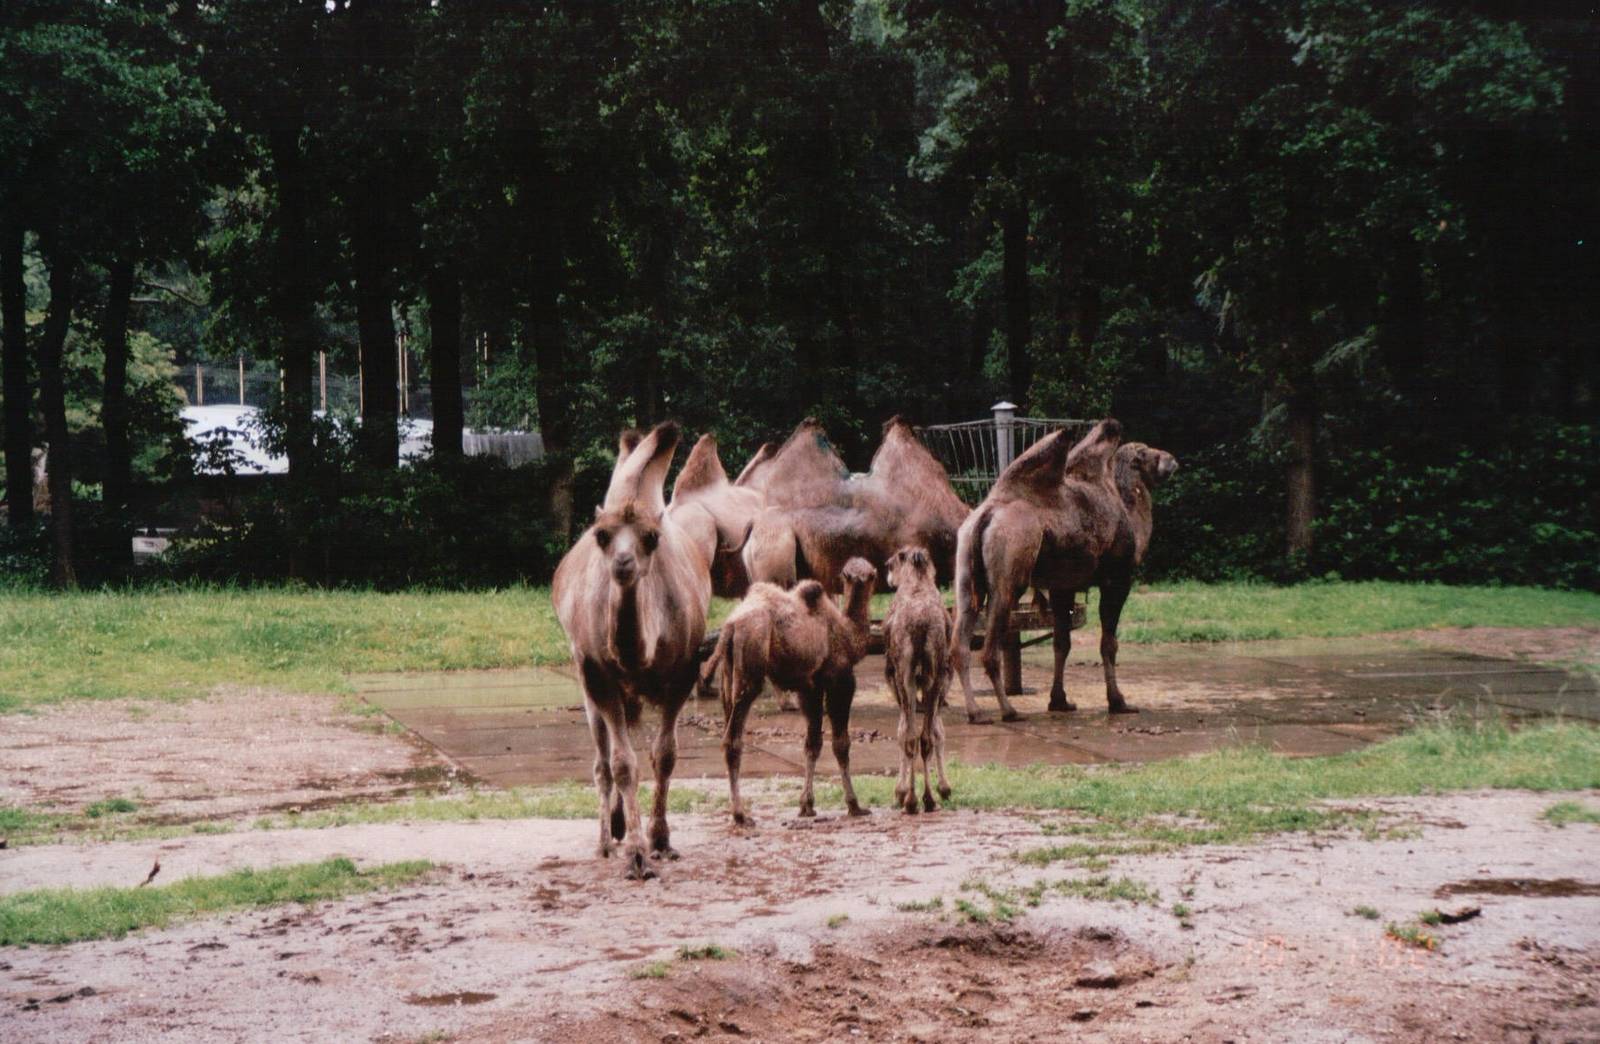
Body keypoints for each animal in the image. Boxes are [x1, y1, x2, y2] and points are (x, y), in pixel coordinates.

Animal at [552, 421, 722, 881]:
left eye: (651, 538)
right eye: (602, 535)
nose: (623, 563)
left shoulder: (683, 672)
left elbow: (664, 754)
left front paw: (660, 841)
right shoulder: (599, 675)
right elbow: (622, 764)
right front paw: (635, 855)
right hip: (587, 679)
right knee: (602, 760)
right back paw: (605, 840)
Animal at [700, 556, 878, 824]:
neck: (847, 633)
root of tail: (730, 627)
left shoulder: (809, 689)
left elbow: (812, 744)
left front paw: (807, 805)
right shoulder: (840, 681)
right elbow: (841, 744)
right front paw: (855, 805)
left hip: (727, 677)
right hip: (750, 669)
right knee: (733, 740)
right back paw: (741, 815)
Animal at [881, 546, 953, 814]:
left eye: (891, 563)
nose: (887, 573)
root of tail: (921, 627)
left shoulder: (893, 675)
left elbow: (902, 730)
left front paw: (899, 792)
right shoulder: (942, 676)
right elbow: (934, 730)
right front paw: (944, 788)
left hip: (906, 674)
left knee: (911, 736)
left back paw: (911, 801)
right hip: (937, 673)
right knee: (926, 737)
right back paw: (929, 799)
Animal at [952, 419, 1177, 723]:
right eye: (1147, 452)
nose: (1171, 459)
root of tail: (986, 515)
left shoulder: (1063, 587)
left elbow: (1062, 643)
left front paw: (1059, 701)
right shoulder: (1117, 580)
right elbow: (1109, 643)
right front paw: (1118, 702)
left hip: (965, 569)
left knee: (960, 643)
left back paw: (976, 712)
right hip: (1009, 571)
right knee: (989, 650)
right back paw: (1009, 710)